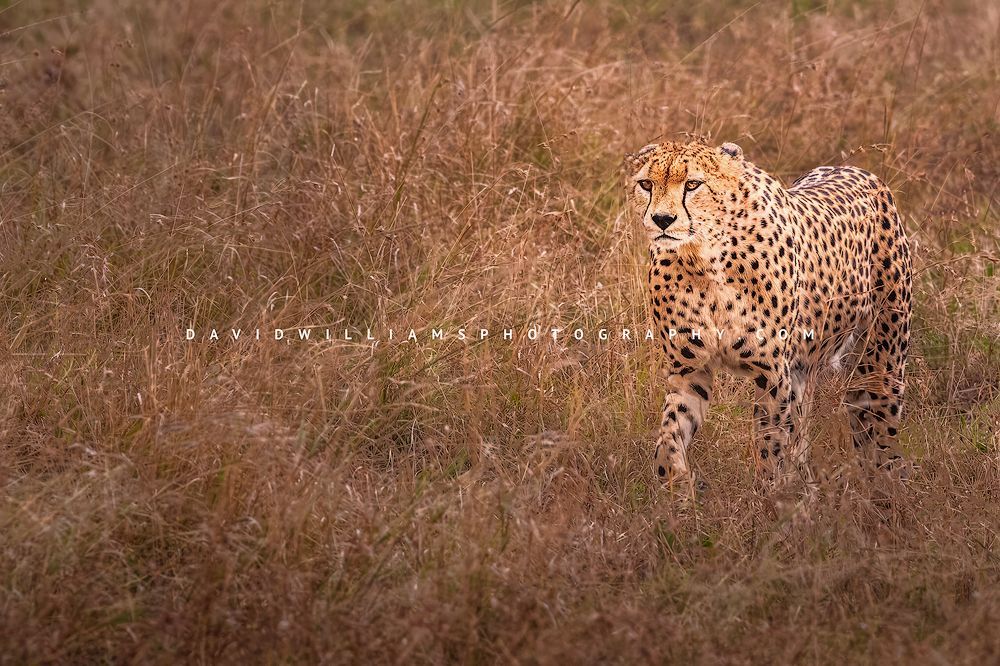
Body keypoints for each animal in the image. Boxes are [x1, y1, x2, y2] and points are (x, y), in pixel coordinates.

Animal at [624, 139, 912, 490]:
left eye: (692, 184)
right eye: (646, 184)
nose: (662, 219)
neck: (704, 258)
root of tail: (858, 169)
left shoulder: (773, 374)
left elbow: (770, 445)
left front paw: (770, 497)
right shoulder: (690, 369)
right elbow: (669, 438)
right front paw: (678, 488)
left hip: (880, 361)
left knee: (878, 429)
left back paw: (887, 487)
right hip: (806, 370)